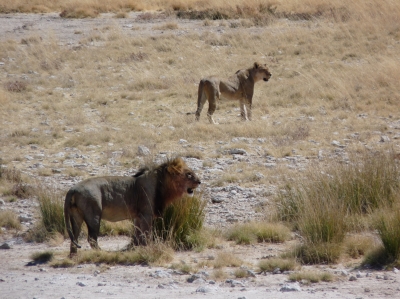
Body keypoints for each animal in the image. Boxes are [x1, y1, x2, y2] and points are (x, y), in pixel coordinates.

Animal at [65, 158, 200, 256]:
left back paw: (73, 256)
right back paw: (103, 253)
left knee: (74, 238)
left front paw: (136, 249)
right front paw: (147, 249)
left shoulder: (138, 216)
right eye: (189, 174)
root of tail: (73, 189)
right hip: (93, 215)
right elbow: (146, 234)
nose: (199, 182)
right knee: (92, 239)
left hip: (76, 216)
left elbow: (138, 235)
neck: (162, 185)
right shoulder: (146, 214)